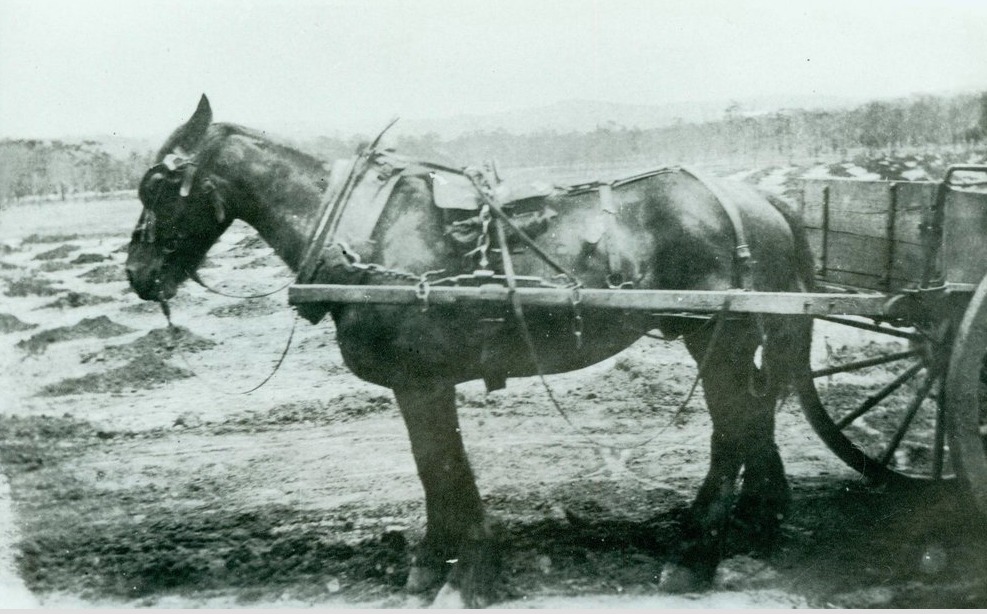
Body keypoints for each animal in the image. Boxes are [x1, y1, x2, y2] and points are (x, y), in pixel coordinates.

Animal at [125, 95, 815, 607]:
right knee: (756, 416)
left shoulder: (422, 381)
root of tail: (755, 199)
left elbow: (444, 468)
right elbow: (432, 473)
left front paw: (468, 572)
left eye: (158, 184)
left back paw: (695, 556)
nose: (137, 274)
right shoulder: (417, 385)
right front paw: (434, 561)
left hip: (718, 337)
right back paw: (758, 525)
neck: (362, 233)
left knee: (732, 430)